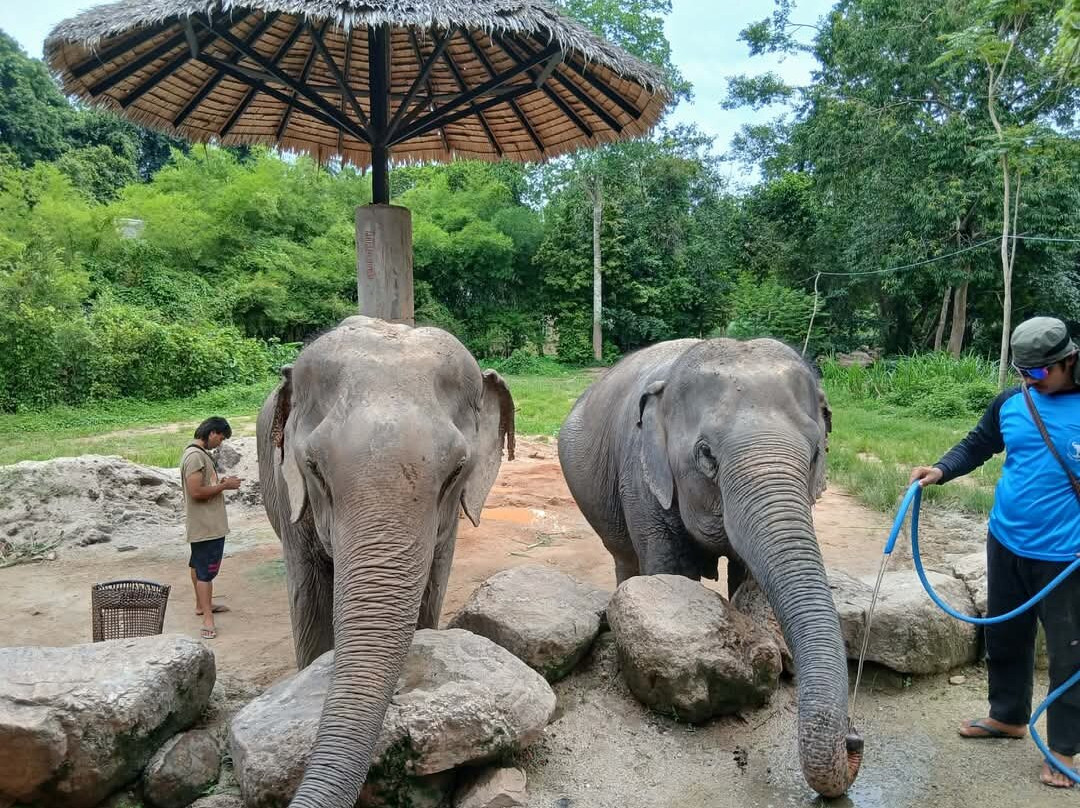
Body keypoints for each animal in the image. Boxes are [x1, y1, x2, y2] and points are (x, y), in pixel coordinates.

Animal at [557, 337, 863, 798]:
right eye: (706, 455)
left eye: (815, 453)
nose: (854, 737)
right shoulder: (640, 477)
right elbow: (669, 570)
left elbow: (749, 573)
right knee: (624, 557)